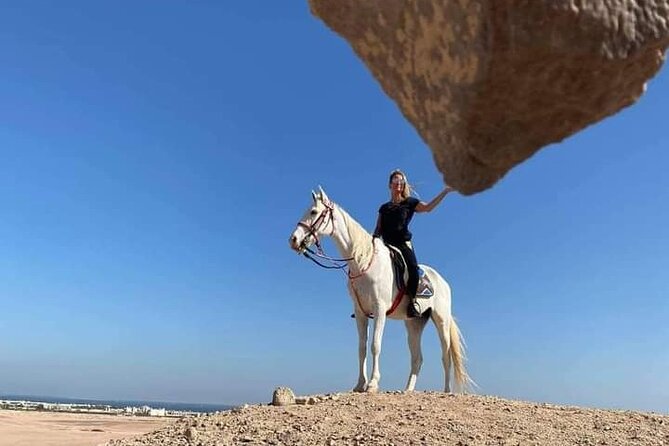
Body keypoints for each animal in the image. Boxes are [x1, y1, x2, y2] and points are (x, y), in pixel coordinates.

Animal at [289, 187, 472, 393]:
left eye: (313, 212)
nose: (293, 240)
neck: (363, 261)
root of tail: (443, 281)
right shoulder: (361, 313)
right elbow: (361, 348)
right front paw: (360, 384)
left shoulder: (379, 310)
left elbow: (375, 345)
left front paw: (372, 383)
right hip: (414, 324)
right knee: (417, 358)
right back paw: (407, 390)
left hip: (441, 320)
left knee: (445, 355)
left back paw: (447, 391)